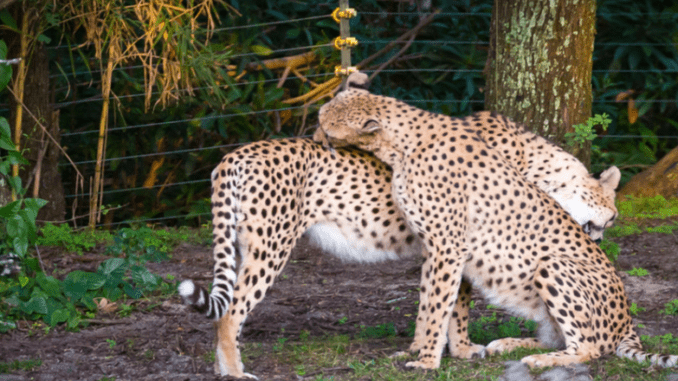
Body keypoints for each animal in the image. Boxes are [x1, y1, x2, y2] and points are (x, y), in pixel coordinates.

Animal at [314, 71, 678, 368]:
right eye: (320, 124)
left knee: (589, 347)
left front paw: (436, 356)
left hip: (554, 263)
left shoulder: (450, 245)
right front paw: (423, 350)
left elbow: (443, 302)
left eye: (328, 132)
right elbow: (431, 300)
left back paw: (536, 359)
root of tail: (628, 321)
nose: (314, 141)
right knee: (560, 338)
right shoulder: (436, 245)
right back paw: (510, 344)